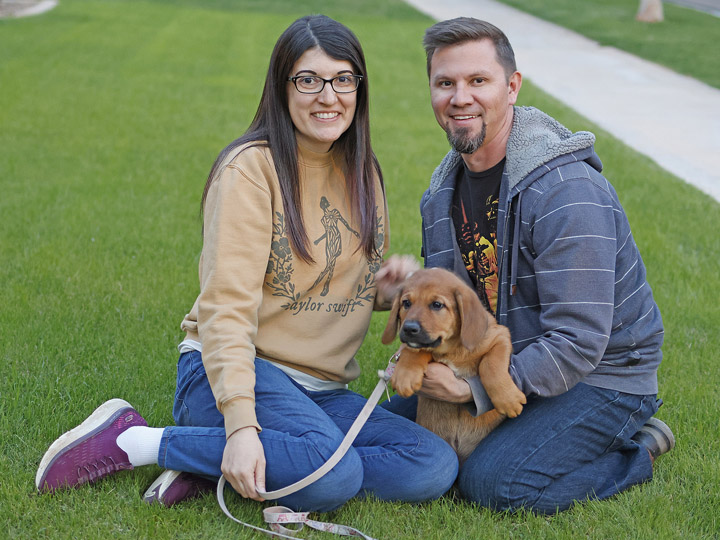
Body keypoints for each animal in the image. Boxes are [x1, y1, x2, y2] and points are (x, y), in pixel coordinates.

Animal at [382, 268, 528, 462]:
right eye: (406, 303)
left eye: (437, 305)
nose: (409, 329)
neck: (452, 350)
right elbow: (415, 350)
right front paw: (405, 375)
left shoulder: (500, 336)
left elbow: (490, 365)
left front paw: (507, 399)